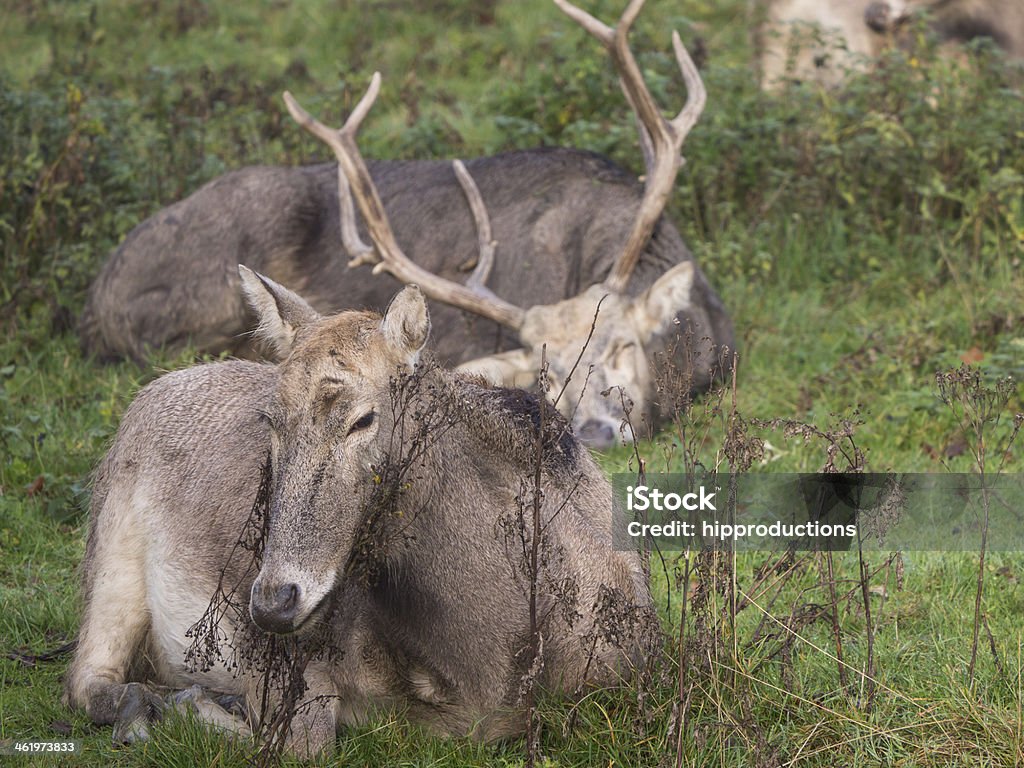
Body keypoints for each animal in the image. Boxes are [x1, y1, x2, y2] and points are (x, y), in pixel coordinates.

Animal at [66, 264, 655, 757]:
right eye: (271, 419)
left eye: (363, 419)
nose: (273, 602)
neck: (488, 661)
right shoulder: (282, 664)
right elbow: (306, 744)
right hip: (112, 547)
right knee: (87, 680)